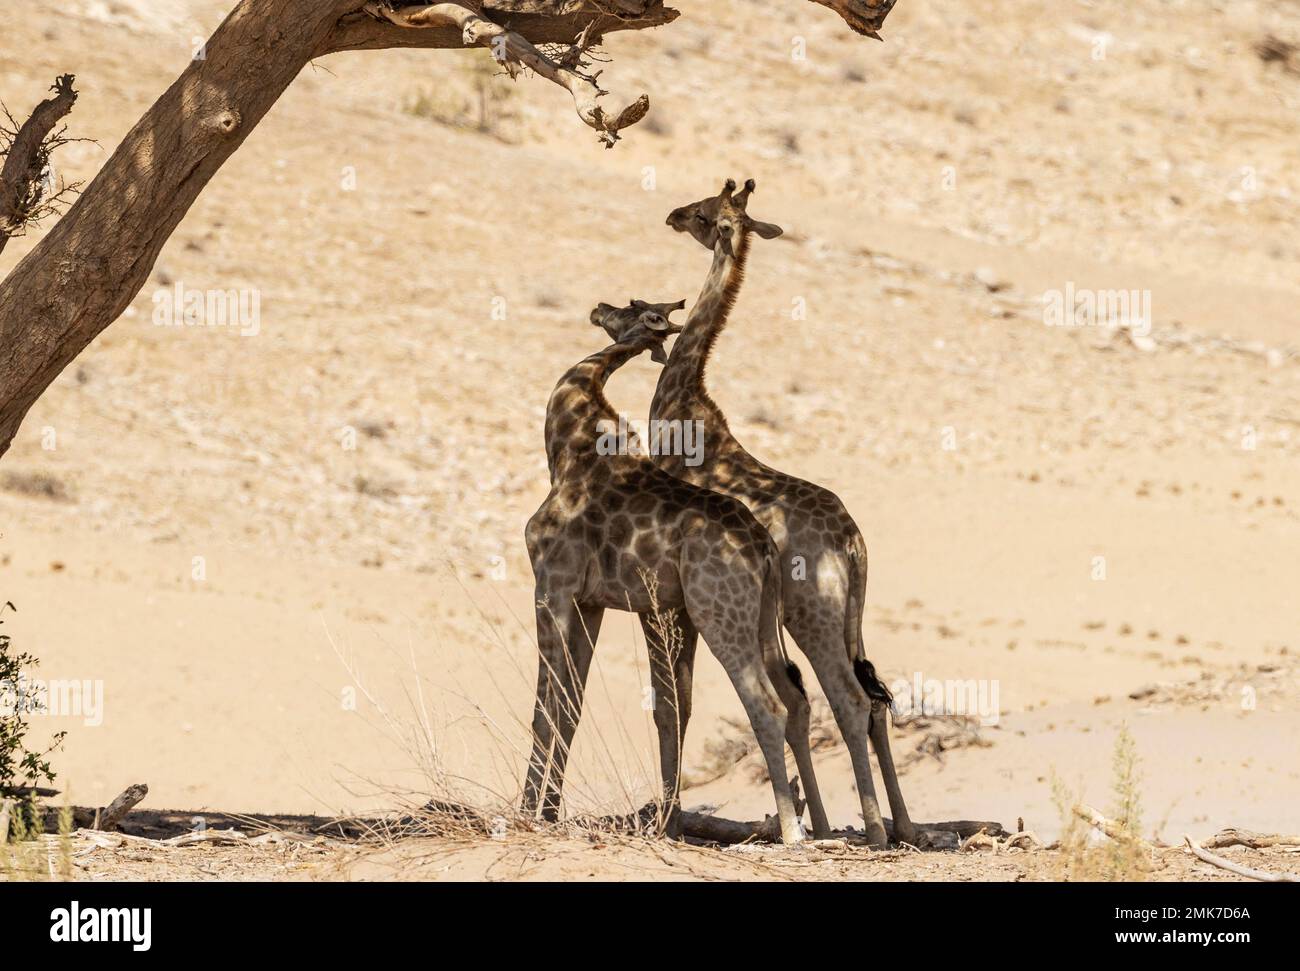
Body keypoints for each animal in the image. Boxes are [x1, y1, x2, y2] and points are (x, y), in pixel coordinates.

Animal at [517, 300, 821, 847]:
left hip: (719, 615)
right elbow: (570, 707)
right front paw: (548, 815)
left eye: (631, 307)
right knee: (795, 698)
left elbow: (543, 709)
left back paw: (792, 831)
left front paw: (524, 813)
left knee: (767, 704)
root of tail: (764, 548)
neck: (568, 444)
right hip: (763, 621)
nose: (597, 308)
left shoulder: (551, 583)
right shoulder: (590, 602)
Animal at [647, 178, 915, 847]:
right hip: (844, 617)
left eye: (702, 213)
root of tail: (853, 544)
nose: (671, 215)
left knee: (847, 698)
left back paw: (873, 831)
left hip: (811, 611)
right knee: (872, 698)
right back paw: (902, 826)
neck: (681, 400)